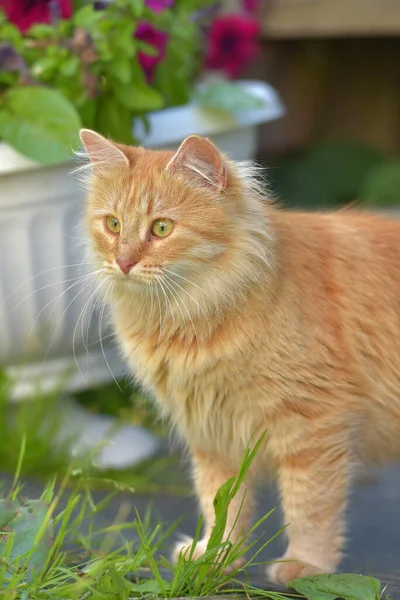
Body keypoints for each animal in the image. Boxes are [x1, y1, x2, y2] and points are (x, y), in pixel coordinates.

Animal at [79, 129, 400, 584]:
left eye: (161, 228)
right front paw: (216, 559)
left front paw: (307, 566)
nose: (122, 262)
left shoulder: (313, 425)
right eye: (113, 224)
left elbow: (310, 506)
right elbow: (222, 506)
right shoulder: (213, 432)